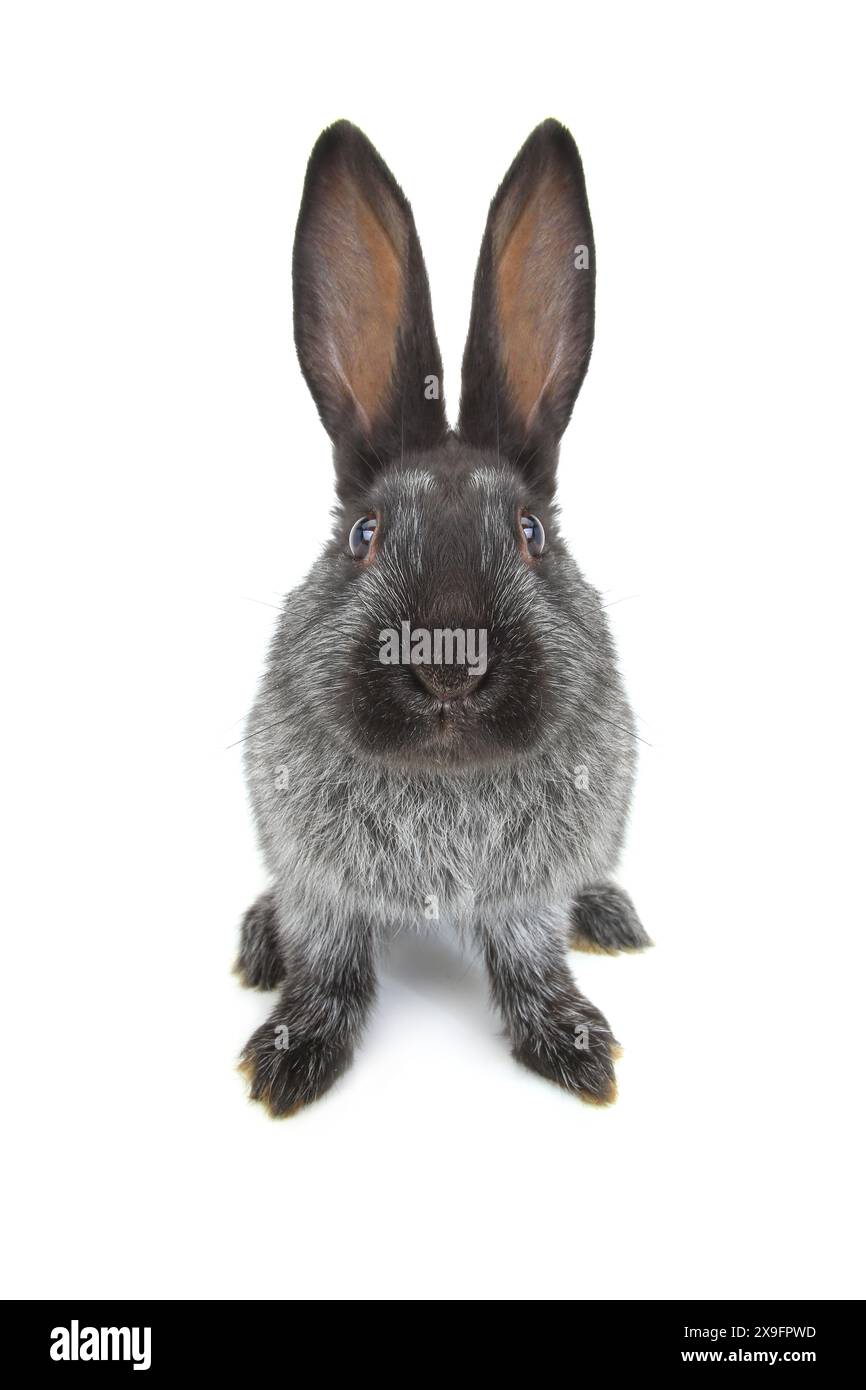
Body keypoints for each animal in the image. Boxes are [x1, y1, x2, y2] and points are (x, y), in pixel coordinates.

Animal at [237, 118, 650, 1116]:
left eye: (533, 533)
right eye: (364, 535)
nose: (448, 663)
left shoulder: (527, 897)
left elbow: (533, 960)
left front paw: (577, 1047)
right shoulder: (320, 886)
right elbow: (329, 967)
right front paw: (290, 1058)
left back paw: (609, 914)